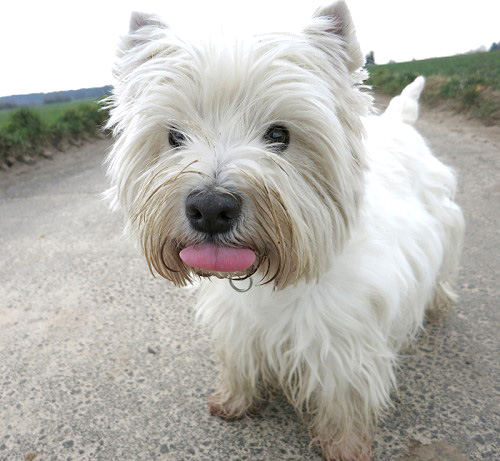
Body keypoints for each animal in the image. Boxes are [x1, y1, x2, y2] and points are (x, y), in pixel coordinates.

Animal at [105, 1, 464, 458]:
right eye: (174, 136)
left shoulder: (343, 345)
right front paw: (234, 401)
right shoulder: (238, 326)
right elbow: (239, 362)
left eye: (280, 134)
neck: (270, 277)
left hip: (443, 225)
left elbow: (344, 401)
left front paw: (345, 447)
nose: (211, 208)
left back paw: (437, 304)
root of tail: (400, 120)